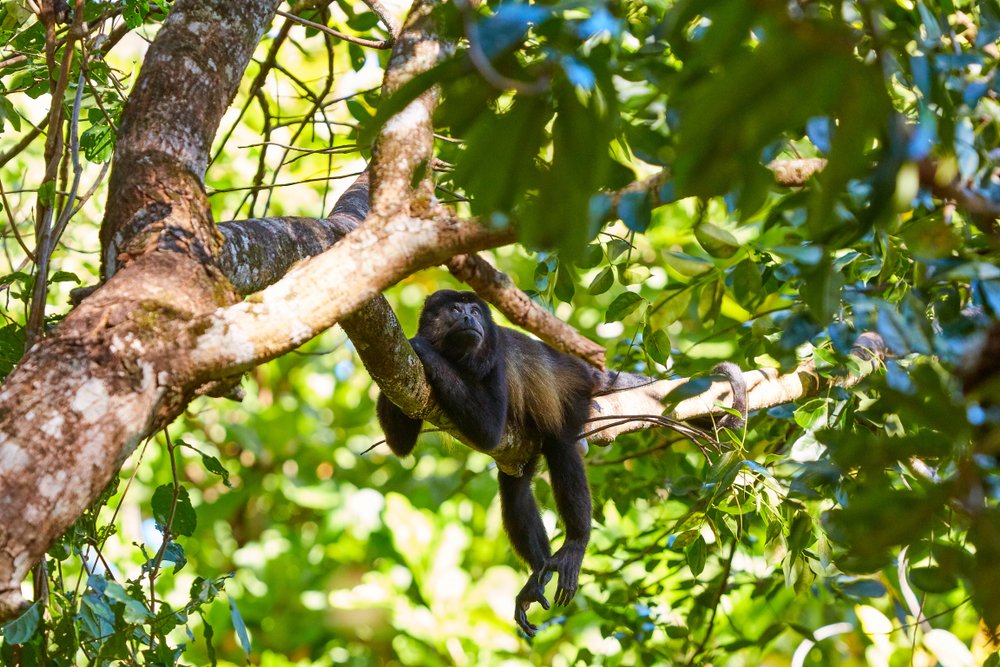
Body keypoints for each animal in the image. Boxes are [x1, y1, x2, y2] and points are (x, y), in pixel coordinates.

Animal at [378, 290, 748, 636]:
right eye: (455, 310)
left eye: (474, 311)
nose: (470, 318)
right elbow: (401, 440)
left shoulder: (494, 358)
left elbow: (489, 428)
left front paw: (423, 348)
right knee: (515, 488)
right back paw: (538, 575)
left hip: (576, 393)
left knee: (561, 445)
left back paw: (575, 543)